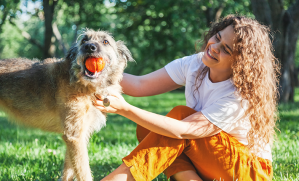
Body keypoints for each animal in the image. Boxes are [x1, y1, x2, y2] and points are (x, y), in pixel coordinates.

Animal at [0, 29, 134, 180]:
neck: (84, 85)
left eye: (105, 41)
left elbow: (69, 170)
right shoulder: (74, 136)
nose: (89, 47)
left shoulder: (77, 135)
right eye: (84, 40)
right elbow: (83, 171)